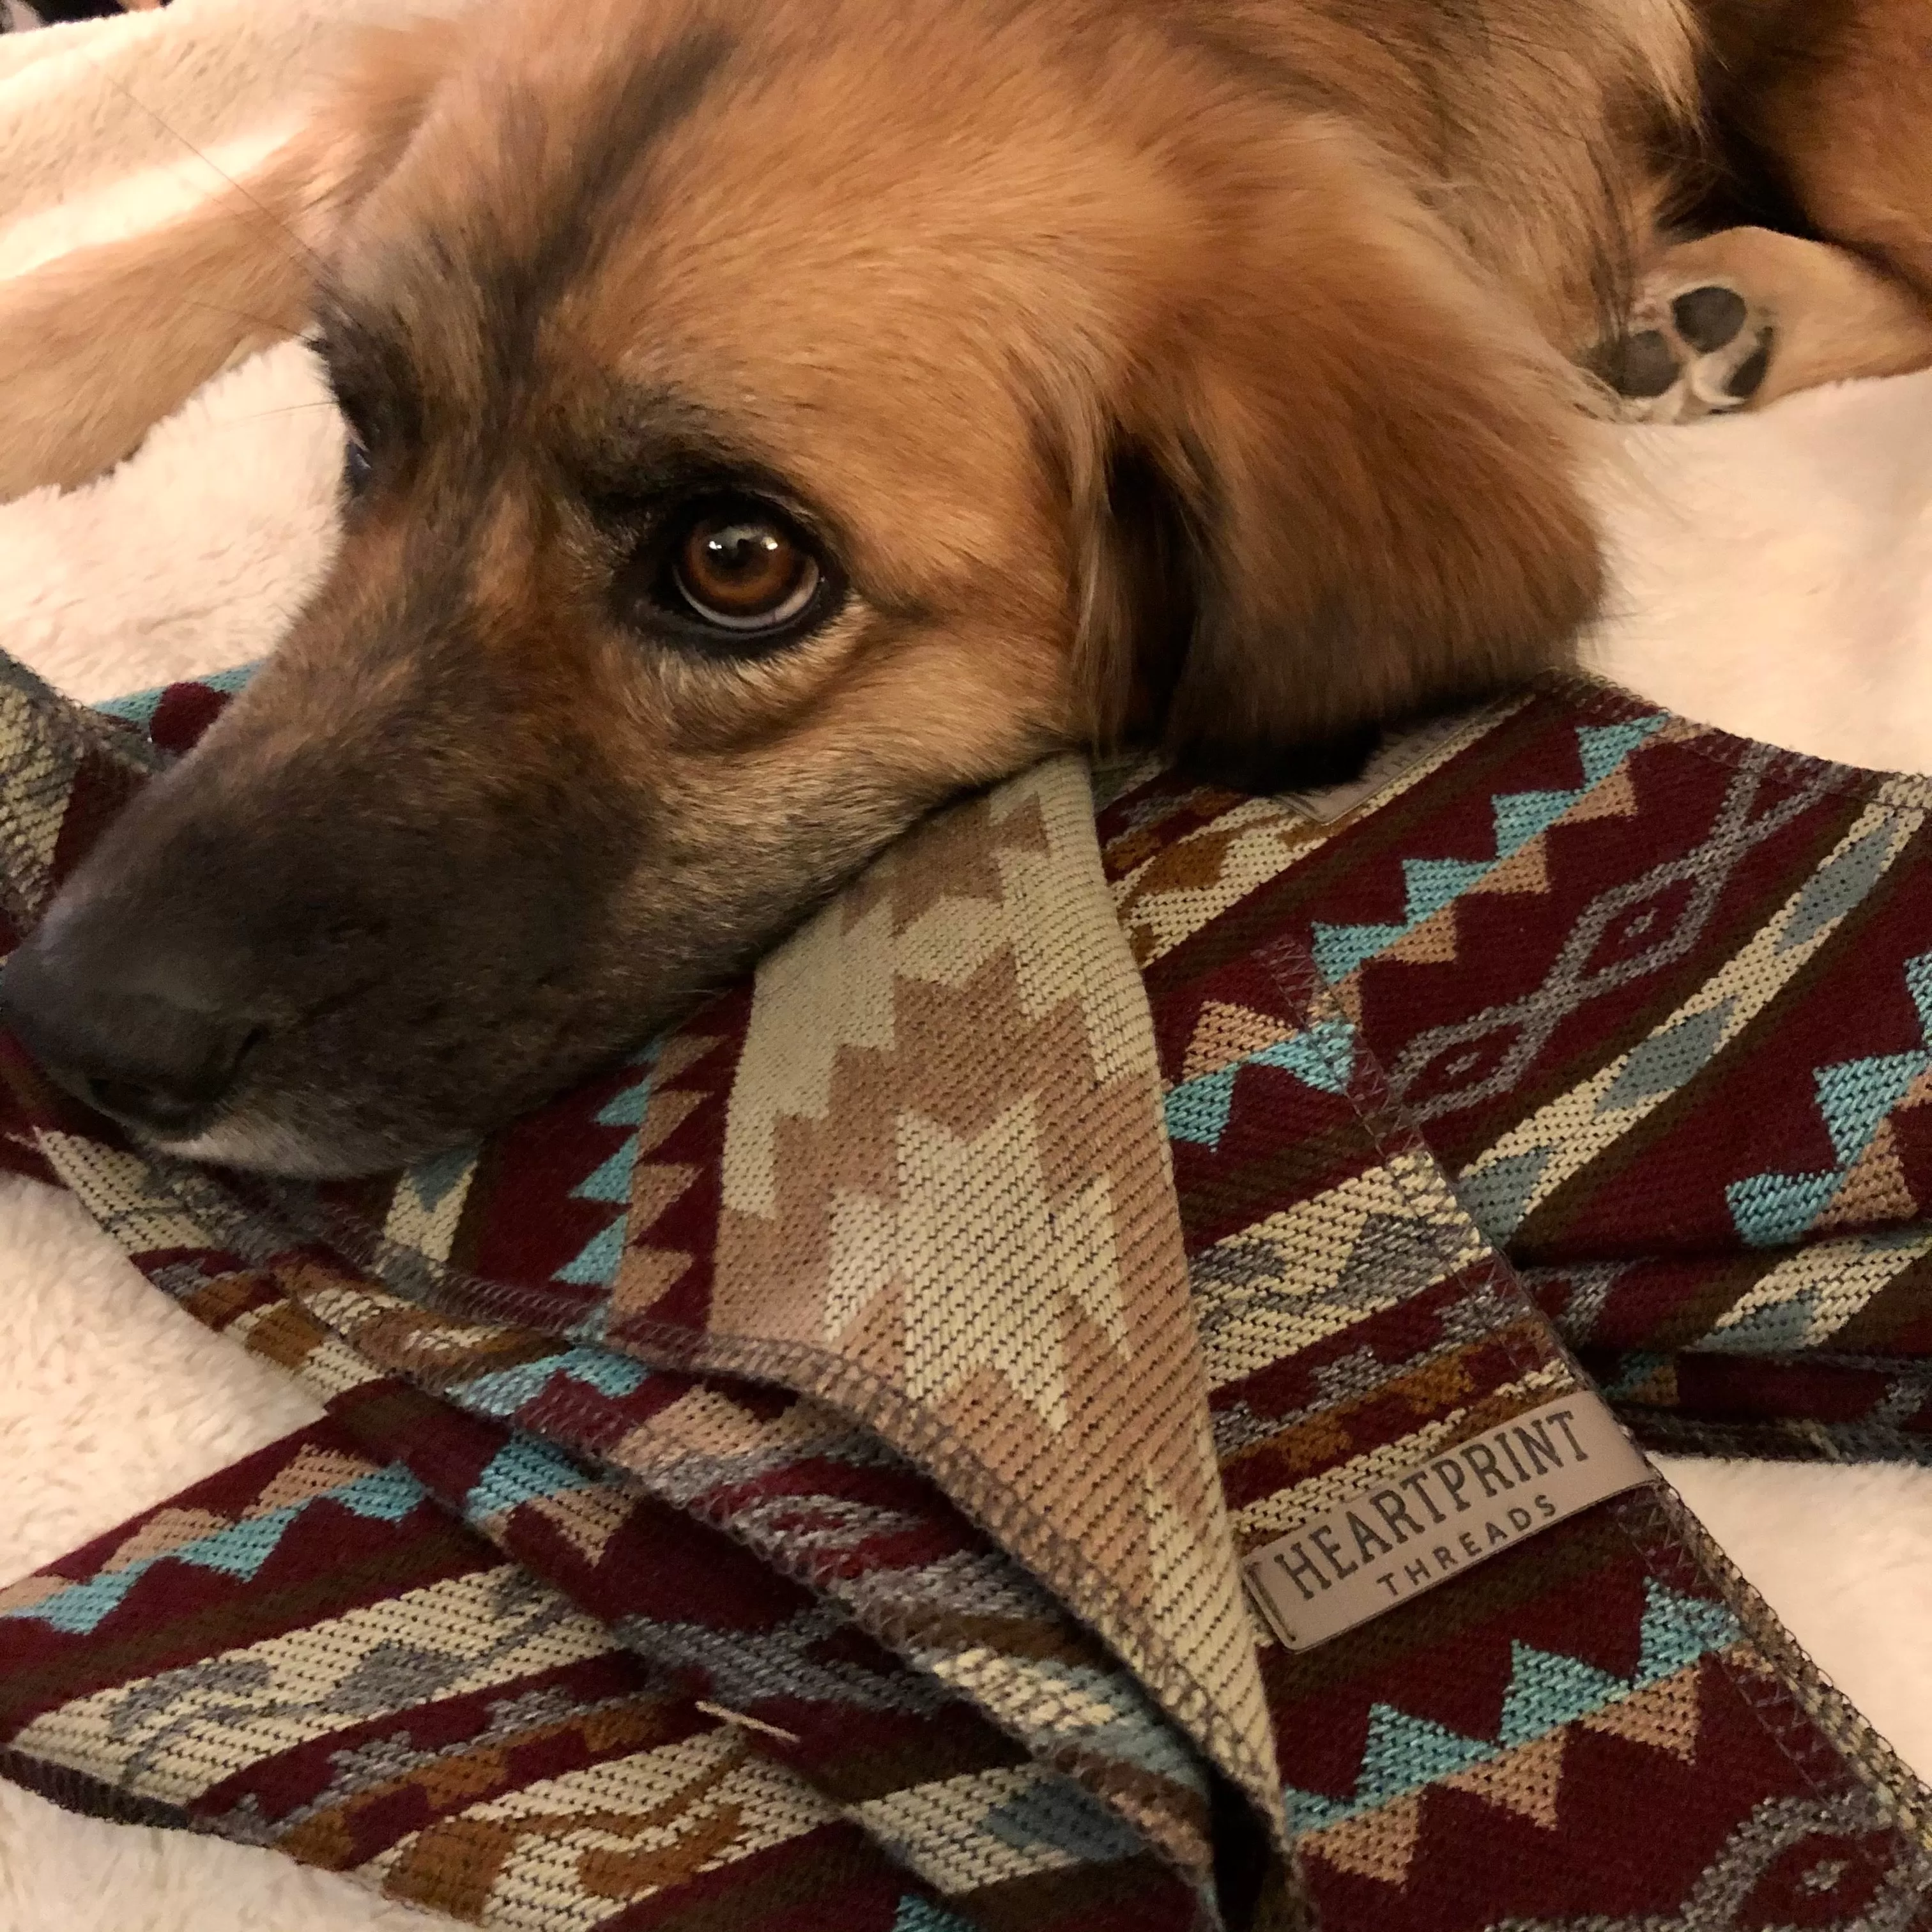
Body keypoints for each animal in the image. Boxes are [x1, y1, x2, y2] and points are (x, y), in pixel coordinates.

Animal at [3, 0, 1932, 1174]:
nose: (72, 1028)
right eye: (364, 434)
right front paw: (43, 352)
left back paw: (1716, 318)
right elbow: (275, 191)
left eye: (739, 564)